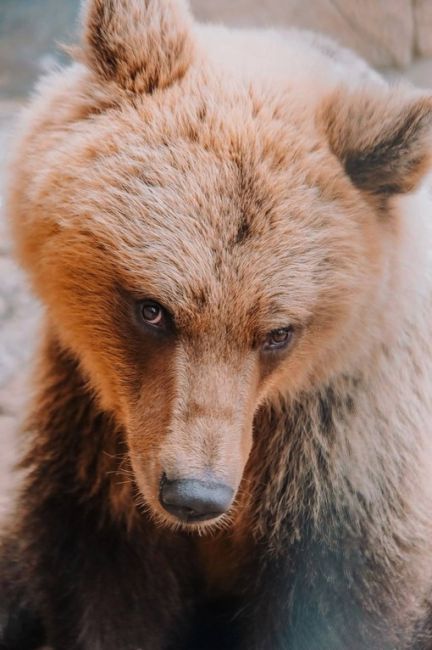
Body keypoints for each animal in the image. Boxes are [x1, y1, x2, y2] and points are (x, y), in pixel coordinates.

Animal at [2, 0, 432, 644]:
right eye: (152, 309)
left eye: (279, 332)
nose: (194, 494)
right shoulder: (94, 425)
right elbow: (102, 577)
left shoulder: (343, 435)